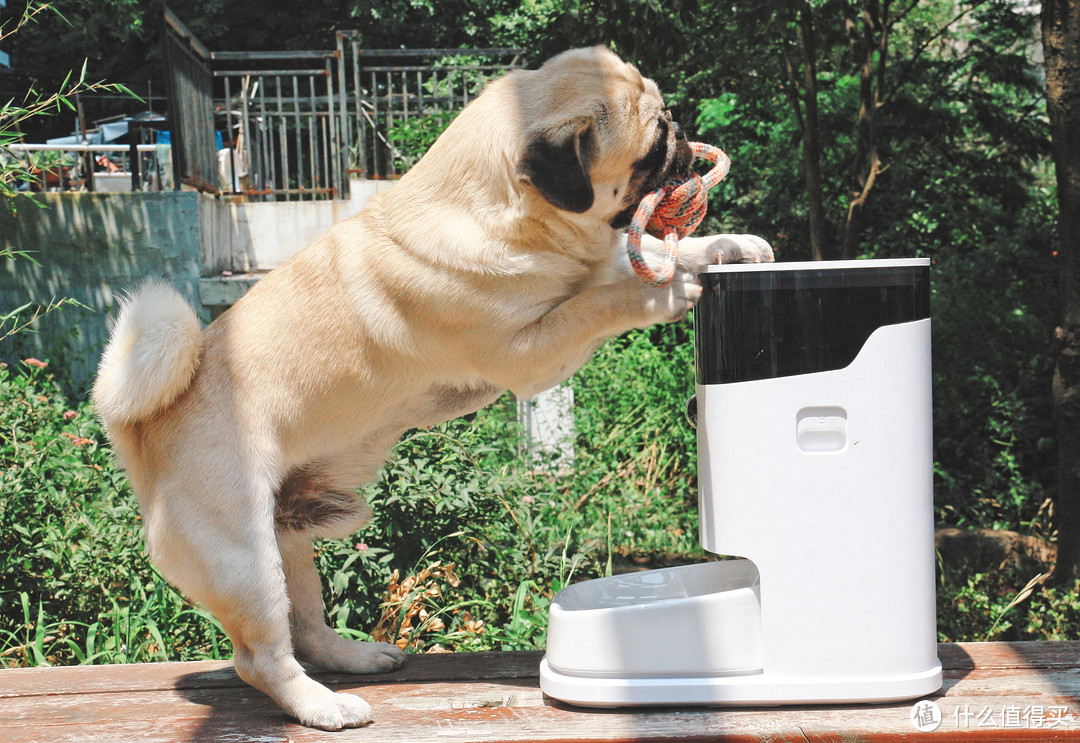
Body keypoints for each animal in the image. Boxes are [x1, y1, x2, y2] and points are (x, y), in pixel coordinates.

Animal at [90, 47, 768, 730]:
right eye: (654, 144)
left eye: (667, 122)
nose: (682, 138)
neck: (519, 222)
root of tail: (142, 425)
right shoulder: (531, 353)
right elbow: (602, 300)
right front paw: (663, 290)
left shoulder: (596, 262)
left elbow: (652, 249)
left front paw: (729, 245)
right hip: (245, 560)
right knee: (262, 659)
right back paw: (323, 707)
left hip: (289, 543)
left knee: (305, 627)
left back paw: (354, 658)